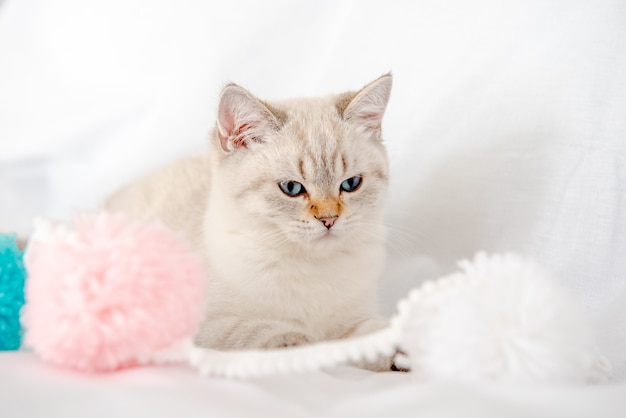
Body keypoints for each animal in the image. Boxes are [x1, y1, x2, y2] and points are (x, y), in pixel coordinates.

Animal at [105, 74, 392, 362]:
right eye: (291, 188)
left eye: (351, 184)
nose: (329, 219)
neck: (311, 268)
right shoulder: (212, 328)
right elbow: (272, 334)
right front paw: (312, 350)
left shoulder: (354, 318)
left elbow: (376, 336)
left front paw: (397, 355)